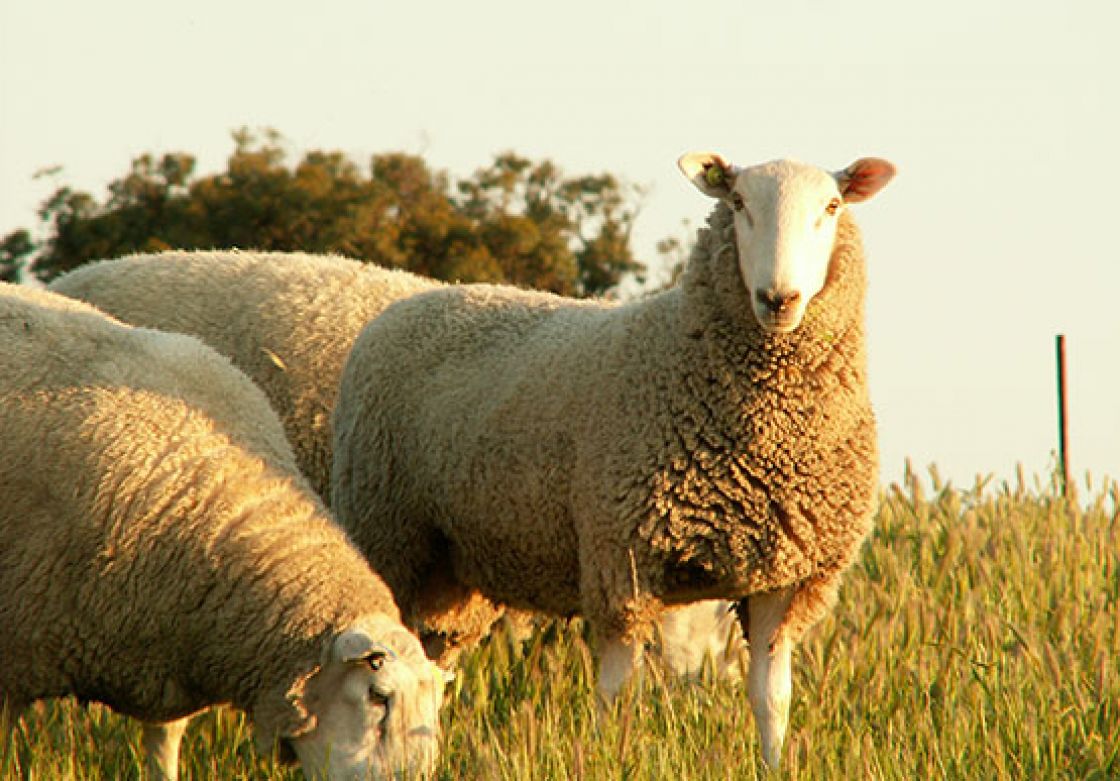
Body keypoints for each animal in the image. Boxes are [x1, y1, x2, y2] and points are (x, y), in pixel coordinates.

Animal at [330, 153, 896, 768]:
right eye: (739, 202)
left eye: (832, 206)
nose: (778, 299)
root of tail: (413, 300)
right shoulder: (620, 559)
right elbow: (618, 694)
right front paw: (608, 755)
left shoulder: (784, 576)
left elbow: (771, 699)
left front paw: (773, 766)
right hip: (385, 530)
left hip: (450, 568)